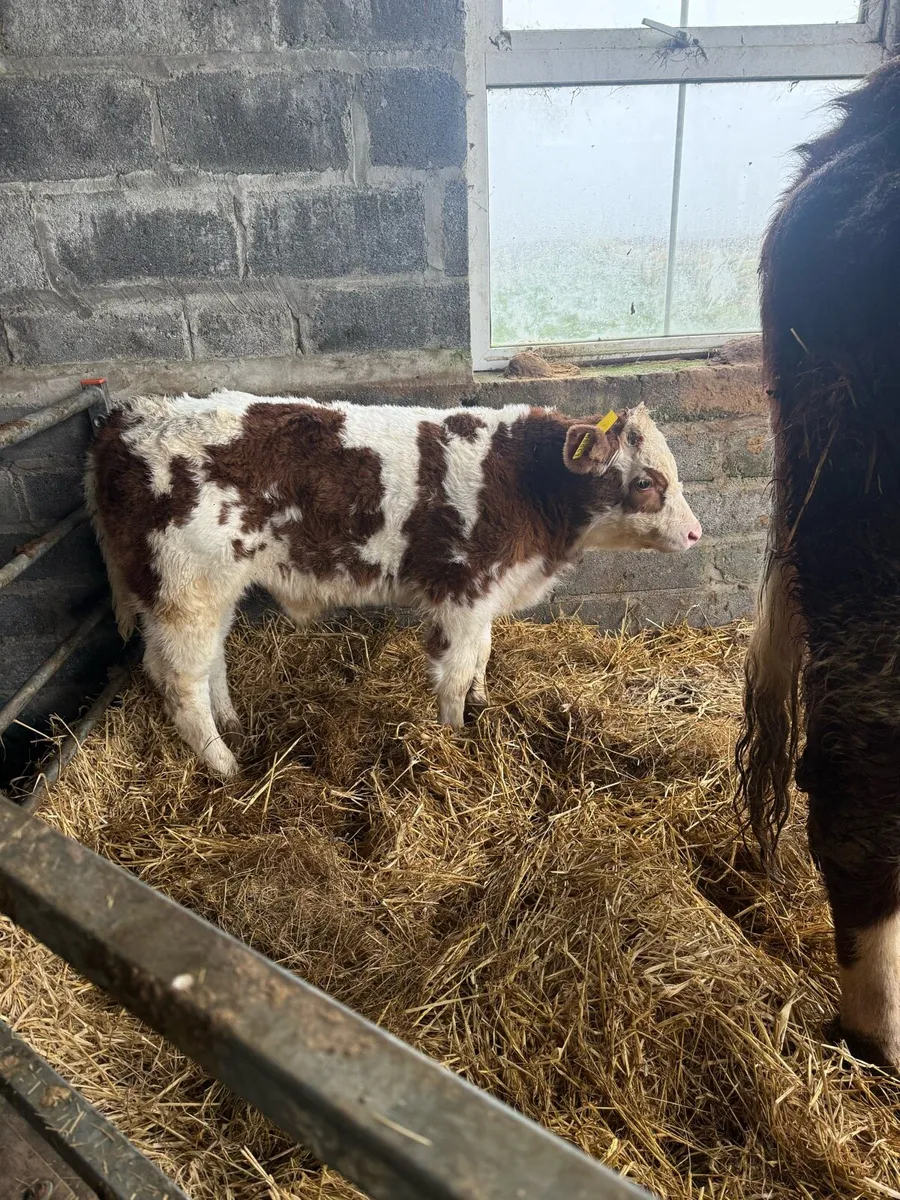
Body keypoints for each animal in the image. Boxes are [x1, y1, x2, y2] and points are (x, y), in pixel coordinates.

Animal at [87, 393, 701, 777]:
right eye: (646, 482)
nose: (695, 532)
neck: (523, 481)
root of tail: (132, 417)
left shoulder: (484, 598)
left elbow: (484, 653)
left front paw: (483, 703)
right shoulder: (462, 592)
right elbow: (455, 674)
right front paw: (455, 738)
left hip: (217, 588)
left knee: (210, 657)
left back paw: (234, 725)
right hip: (182, 590)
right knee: (179, 680)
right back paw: (225, 765)